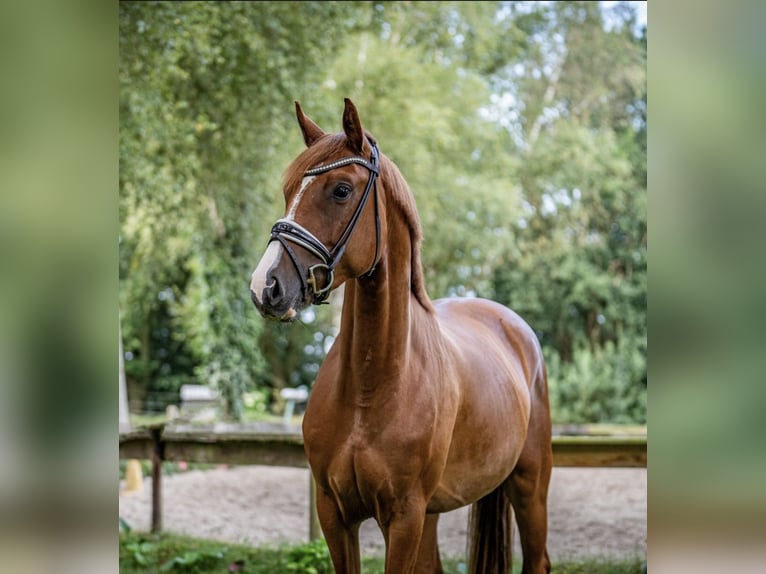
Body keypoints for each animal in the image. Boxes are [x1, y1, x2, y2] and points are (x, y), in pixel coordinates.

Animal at [252, 100, 552, 574]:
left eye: (340, 190)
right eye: (288, 190)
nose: (266, 285)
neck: (370, 387)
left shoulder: (404, 516)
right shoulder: (334, 513)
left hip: (530, 487)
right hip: (435, 514)